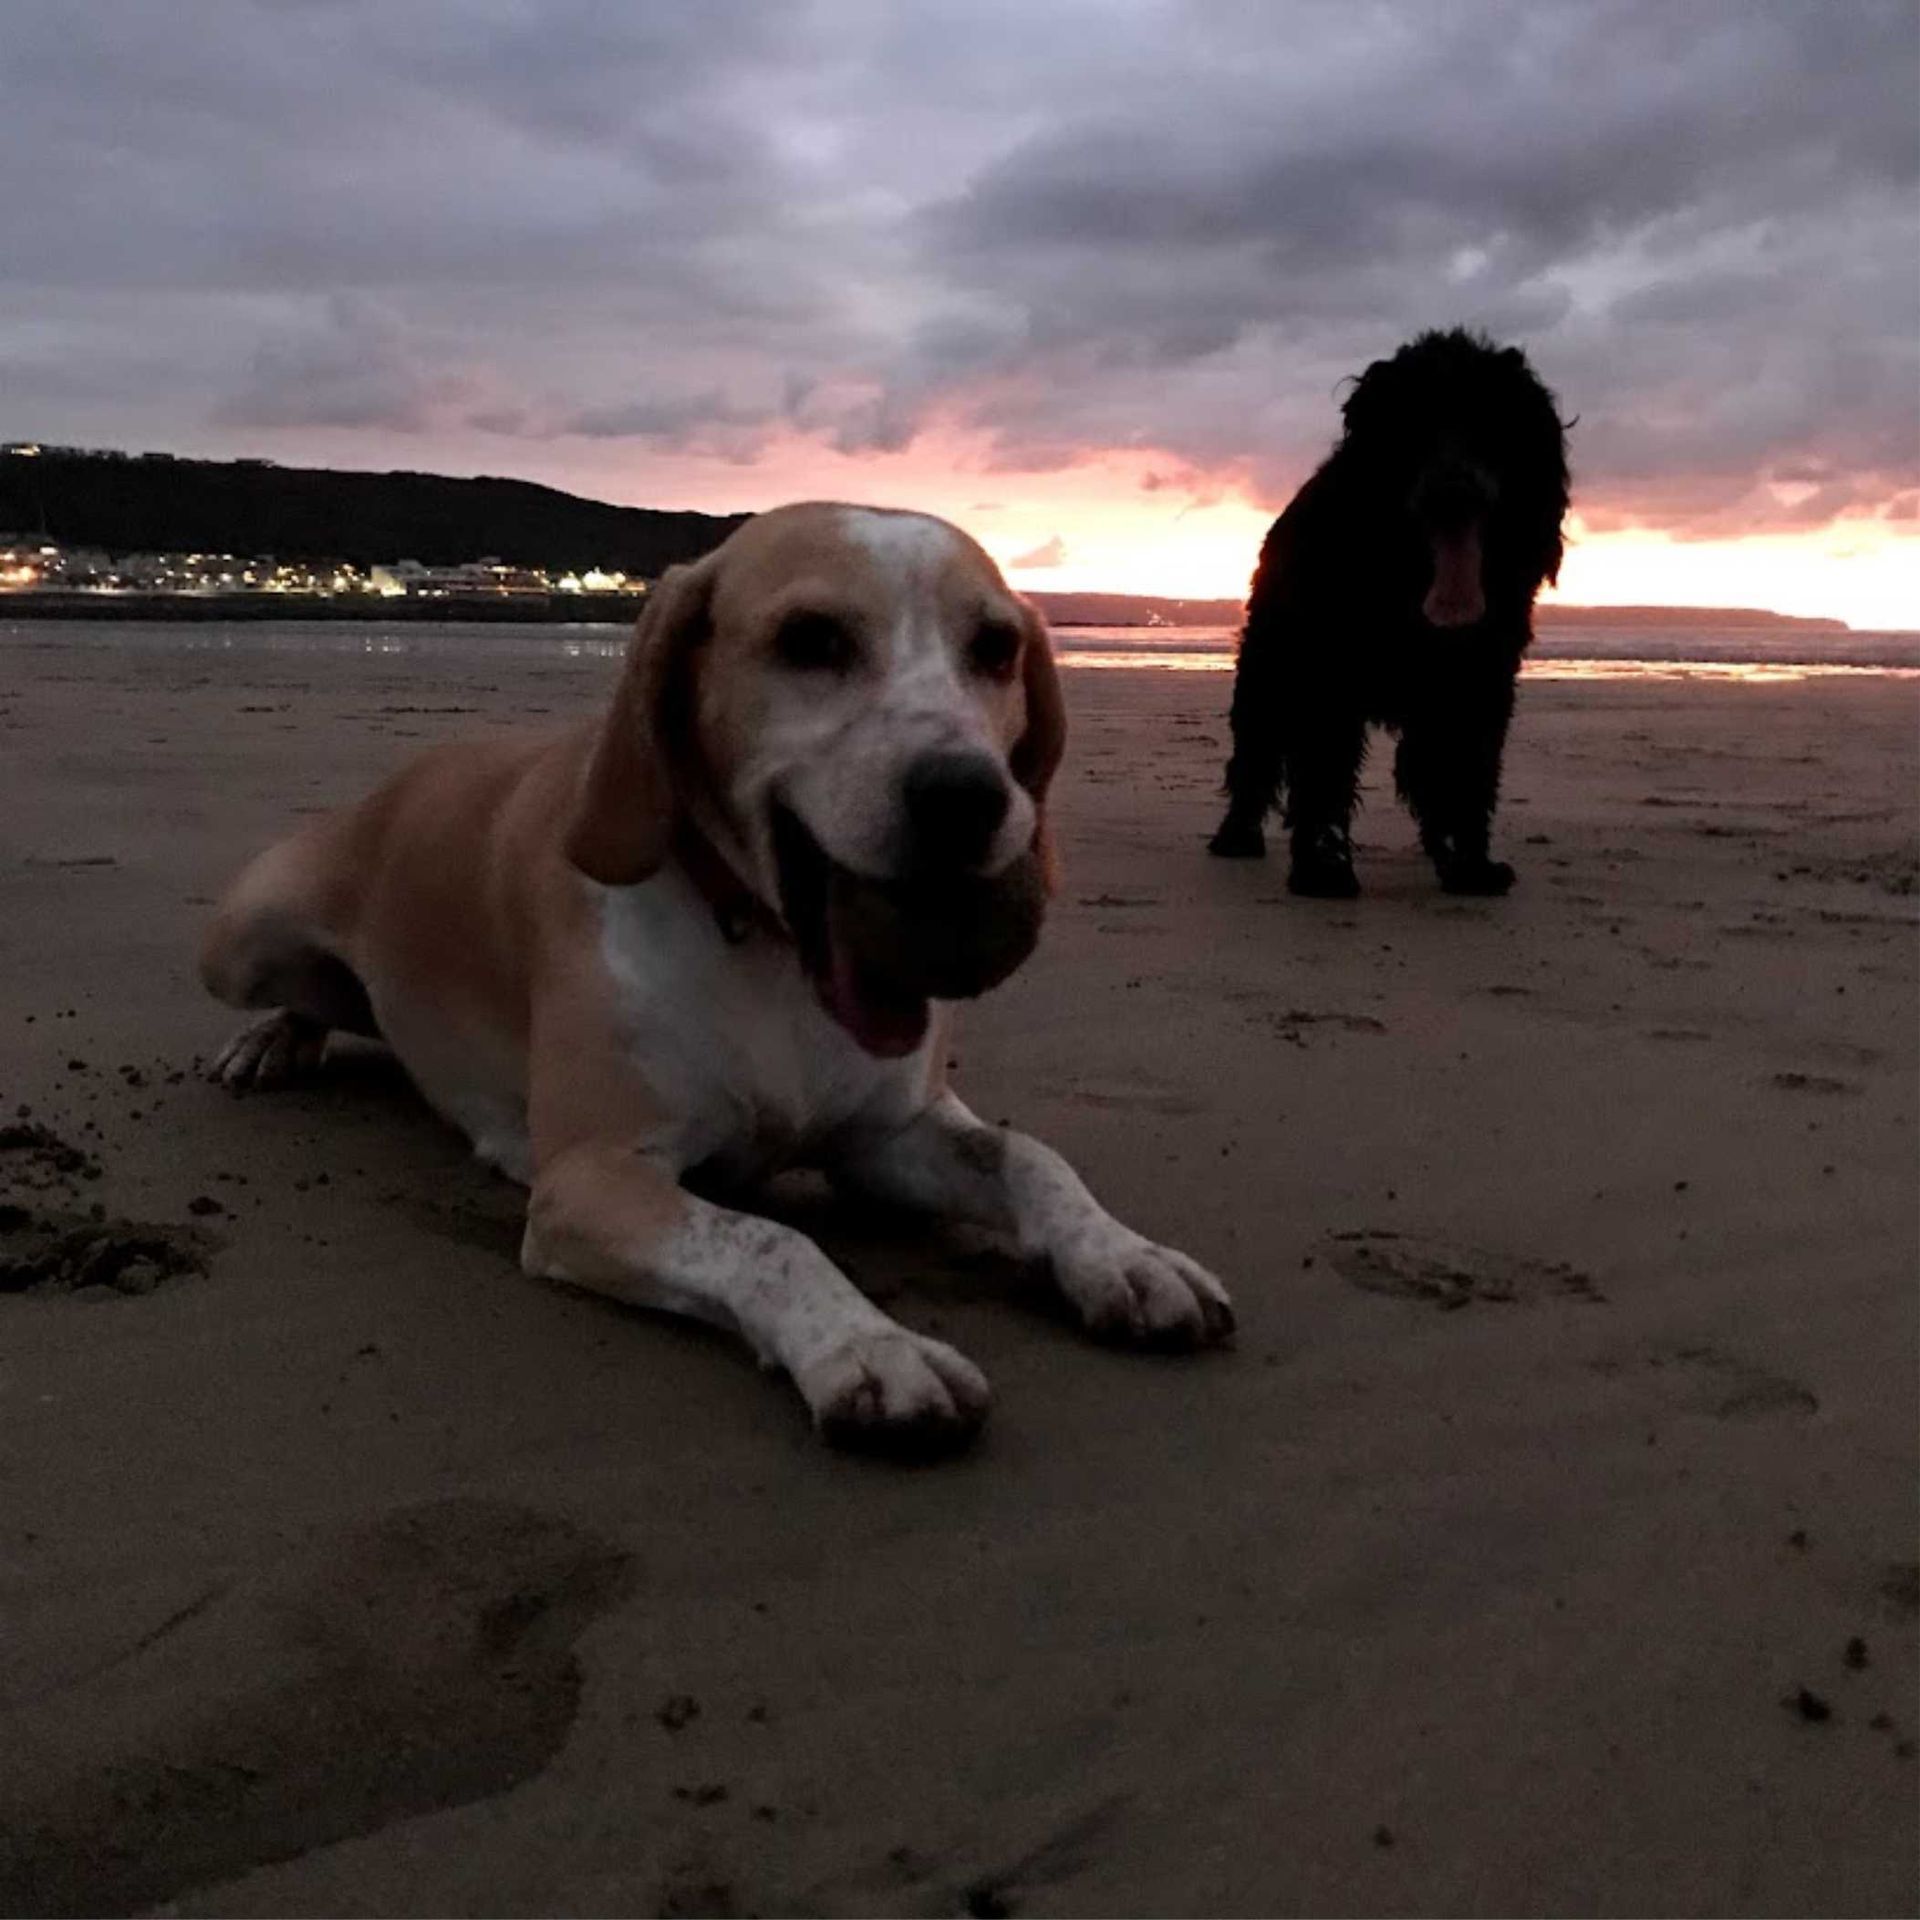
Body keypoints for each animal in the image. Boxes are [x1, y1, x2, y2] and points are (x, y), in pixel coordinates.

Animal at [202, 503, 1236, 1443]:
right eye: (810, 640)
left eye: (996, 647)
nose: (970, 797)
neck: (768, 953)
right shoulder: (588, 1180)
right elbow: (772, 1237)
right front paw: (869, 1348)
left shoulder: (886, 1138)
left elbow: (1031, 1158)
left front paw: (1124, 1255)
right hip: (244, 935)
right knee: (307, 995)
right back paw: (268, 1042)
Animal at [1205, 326, 1566, 894]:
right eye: (1412, 423)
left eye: (1491, 421)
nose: (1453, 492)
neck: (1407, 579)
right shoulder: (1327, 673)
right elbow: (1325, 770)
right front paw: (1323, 868)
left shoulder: (1478, 678)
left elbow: (1463, 768)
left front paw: (1471, 864)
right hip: (1266, 670)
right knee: (1255, 754)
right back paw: (1237, 835)